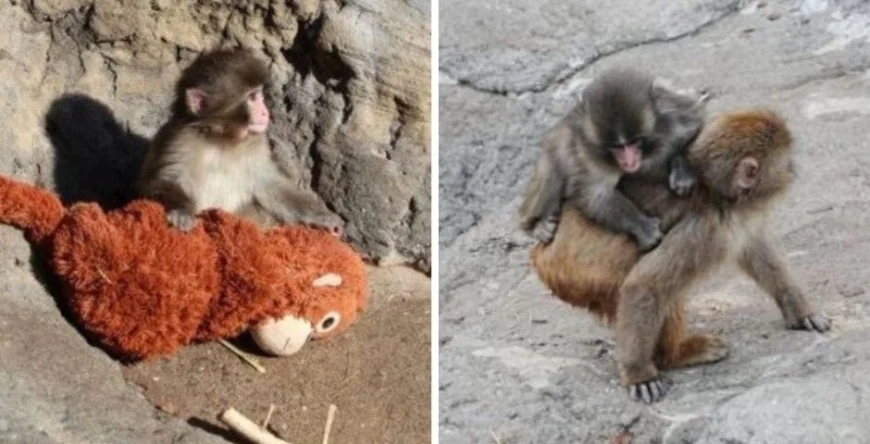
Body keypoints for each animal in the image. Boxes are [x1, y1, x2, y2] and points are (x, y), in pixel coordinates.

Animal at [137, 48, 343, 235]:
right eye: (252, 98)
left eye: (259, 95)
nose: (265, 112)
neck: (222, 139)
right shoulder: (180, 140)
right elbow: (163, 180)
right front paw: (181, 211)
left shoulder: (257, 145)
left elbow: (270, 184)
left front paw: (323, 218)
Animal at [518, 68, 709, 251]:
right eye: (617, 147)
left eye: (634, 142)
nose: (629, 162)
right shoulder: (589, 155)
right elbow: (597, 195)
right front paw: (642, 227)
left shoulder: (675, 115)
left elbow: (695, 125)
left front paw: (681, 171)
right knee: (551, 171)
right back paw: (534, 225)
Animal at [529, 108, 831, 404]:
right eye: (786, 162)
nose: (794, 170)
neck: (717, 193)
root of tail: (540, 253)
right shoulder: (705, 231)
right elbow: (643, 285)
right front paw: (639, 375)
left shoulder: (735, 219)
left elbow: (755, 247)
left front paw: (799, 309)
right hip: (580, 276)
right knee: (658, 292)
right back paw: (674, 356)